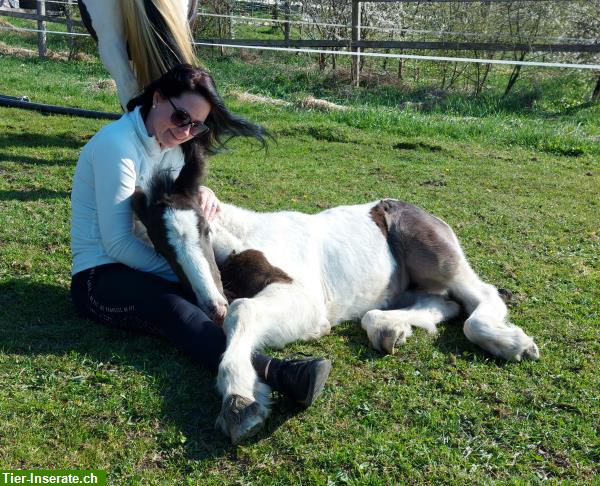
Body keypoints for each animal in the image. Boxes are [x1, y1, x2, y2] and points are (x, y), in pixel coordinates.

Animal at [134, 165, 540, 446]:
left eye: (204, 229)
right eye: (161, 247)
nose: (213, 306)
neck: (244, 241)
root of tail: (419, 209)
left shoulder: (307, 302)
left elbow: (242, 312)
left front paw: (240, 401)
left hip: (440, 260)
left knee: (479, 297)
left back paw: (510, 343)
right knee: (438, 305)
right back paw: (390, 329)